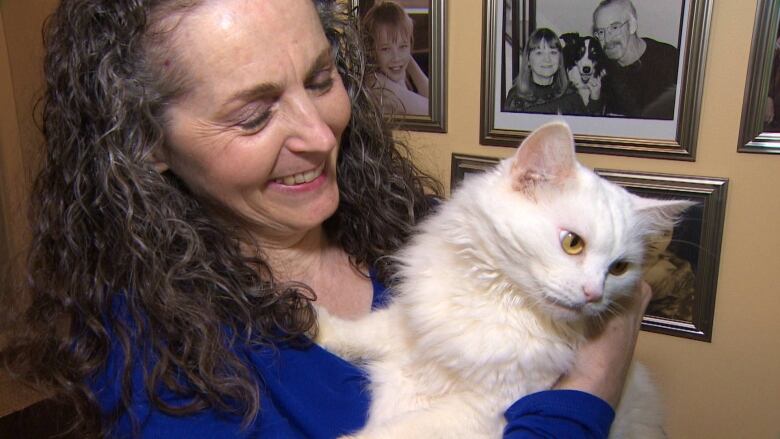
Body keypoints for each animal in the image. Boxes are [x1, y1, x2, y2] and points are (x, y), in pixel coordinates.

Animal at [314, 121, 692, 439]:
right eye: (573, 243)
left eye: (619, 268)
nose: (594, 294)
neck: (498, 298)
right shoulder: (410, 327)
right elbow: (361, 330)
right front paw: (313, 325)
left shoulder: (482, 411)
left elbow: (391, 432)